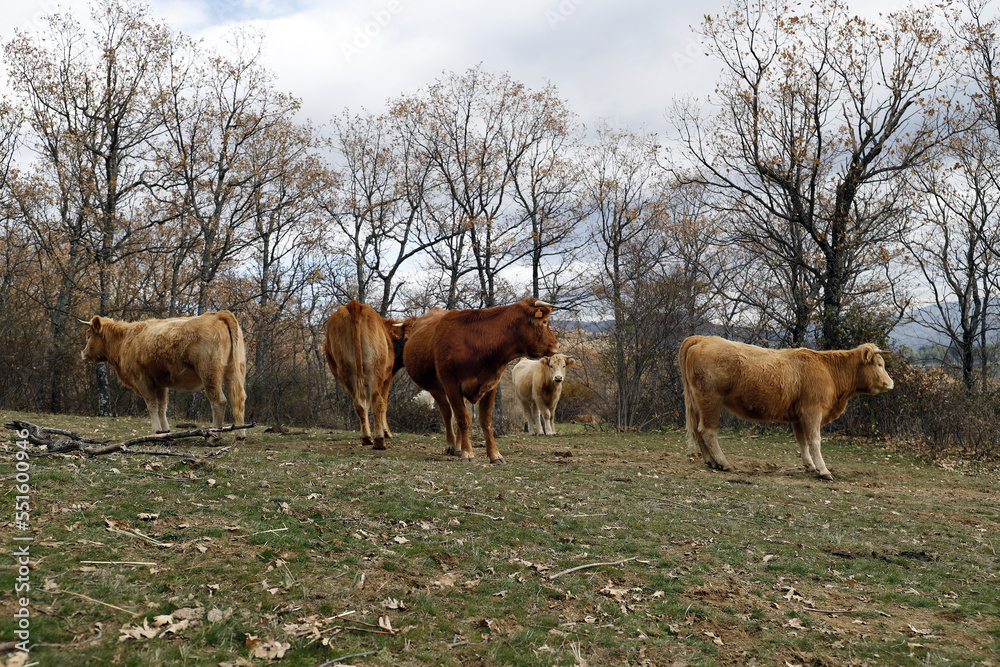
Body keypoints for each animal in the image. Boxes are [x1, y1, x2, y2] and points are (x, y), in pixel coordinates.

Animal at [80, 314, 248, 444]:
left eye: (88, 336)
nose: (83, 353)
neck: (124, 341)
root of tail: (217, 314)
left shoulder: (142, 381)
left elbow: (152, 405)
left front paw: (155, 431)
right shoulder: (160, 383)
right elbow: (162, 406)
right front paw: (165, 431)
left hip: (209, 374)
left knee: (219, 402)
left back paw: (214, 437)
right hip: (235, 371)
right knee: (238, 399)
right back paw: (239, 435)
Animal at [322, 302, 404, 448]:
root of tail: (354, 304)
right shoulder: (387, 377)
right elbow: (384, 403)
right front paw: (387, 432)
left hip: (347, 371)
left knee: (359, 403)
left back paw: (366, 438)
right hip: (375, 369)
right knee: (376, 400)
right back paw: (379, 440)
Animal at [406, 298, 564, 464]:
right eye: (545, 321)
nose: (557, 345)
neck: (477, 343)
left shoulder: (490, 384)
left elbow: (486, 421)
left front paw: (494, 454)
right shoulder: (451, 384)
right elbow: (463, 419)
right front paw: (467, 453)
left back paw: (458, 447)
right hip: (436, 389)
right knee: (448, 414)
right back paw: (451, 446)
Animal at [676, 336, 896, 482]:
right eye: (879, 364)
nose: (891, 383)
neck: (829, 370)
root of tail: (702, 338)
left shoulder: (798, 416)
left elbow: (802, 441)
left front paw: (809, 465)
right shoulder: (812, 411)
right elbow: (815, 441)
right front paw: (824, 470)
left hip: (698, 402)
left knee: (698, 430)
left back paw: (711, 461)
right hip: (711, 400)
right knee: (707, 431)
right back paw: (724, 463)